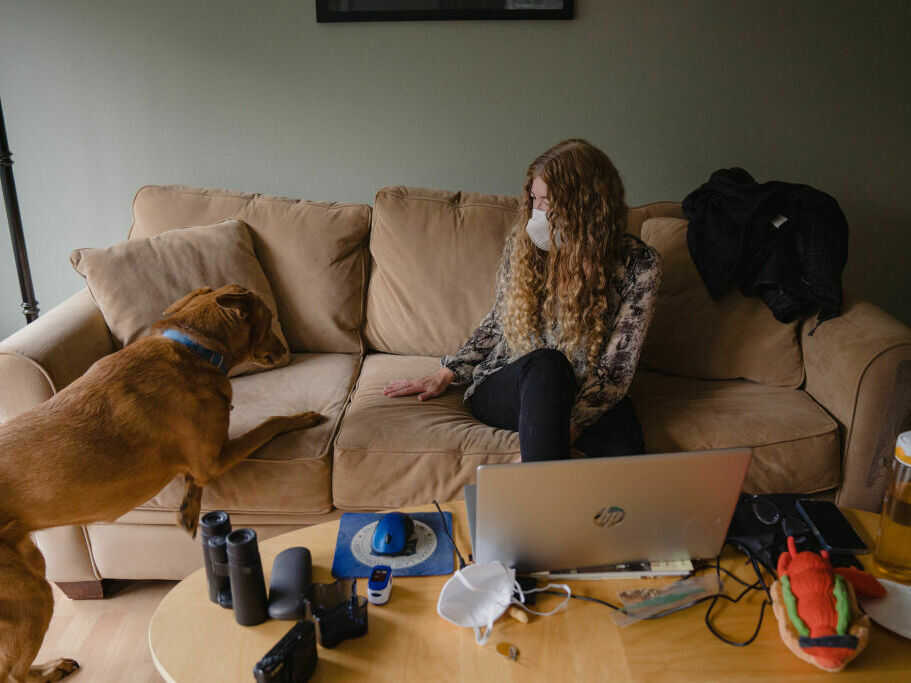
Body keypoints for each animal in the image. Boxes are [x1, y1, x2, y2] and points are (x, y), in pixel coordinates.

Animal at [0, 286, 326, 680]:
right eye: (271, 320)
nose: (286, 351)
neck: (196, 347)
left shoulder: (203, 461)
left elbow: (192, 483)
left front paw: (188, 511)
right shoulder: (213, 458)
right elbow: (270, 423)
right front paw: (301, 417)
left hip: (29, 566)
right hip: (29, 594)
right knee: (12, 671)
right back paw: (49, 669)